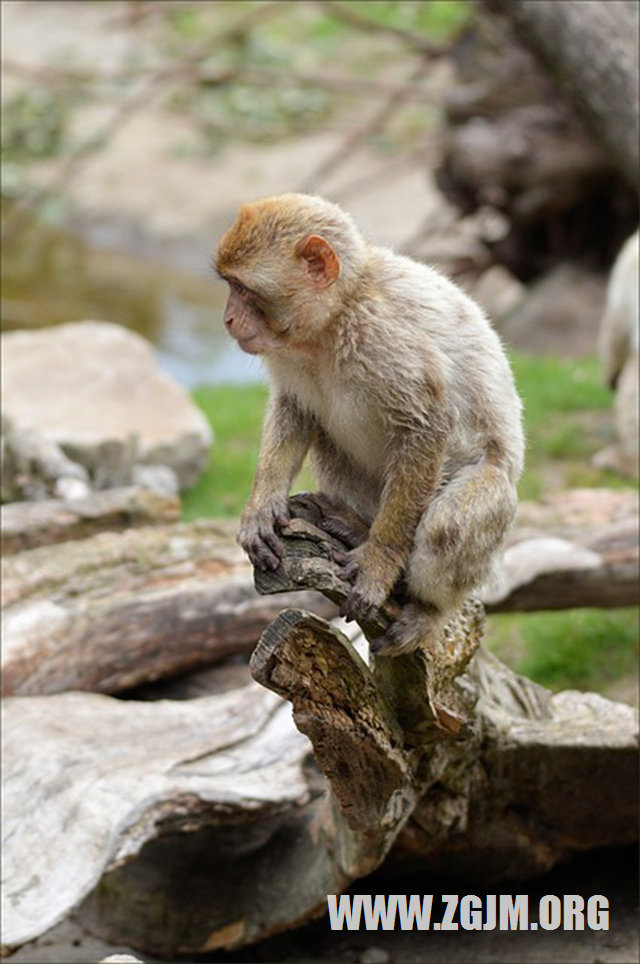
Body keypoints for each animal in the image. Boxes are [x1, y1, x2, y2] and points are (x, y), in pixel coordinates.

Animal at [216, 195, 524, 656]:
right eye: (230, 286)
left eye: (242, 289)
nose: (228, 319)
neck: (332, 322)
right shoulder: (287, 350)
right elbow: (295, 407)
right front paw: (262, 506)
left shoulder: (383, 337)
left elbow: (426, 425)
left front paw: (379, 561)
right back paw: (356, 524)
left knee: (448, 525)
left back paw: (428, 611)